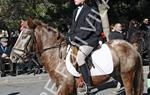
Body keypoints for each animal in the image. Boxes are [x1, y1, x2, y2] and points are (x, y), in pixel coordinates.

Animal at [9, 18, 144, 95]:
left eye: (24, 36)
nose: (13, 57)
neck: (57, 57)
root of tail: (130, 46)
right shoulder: (69, 87)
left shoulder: (64, 87)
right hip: (119, 74)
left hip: (127, 75)